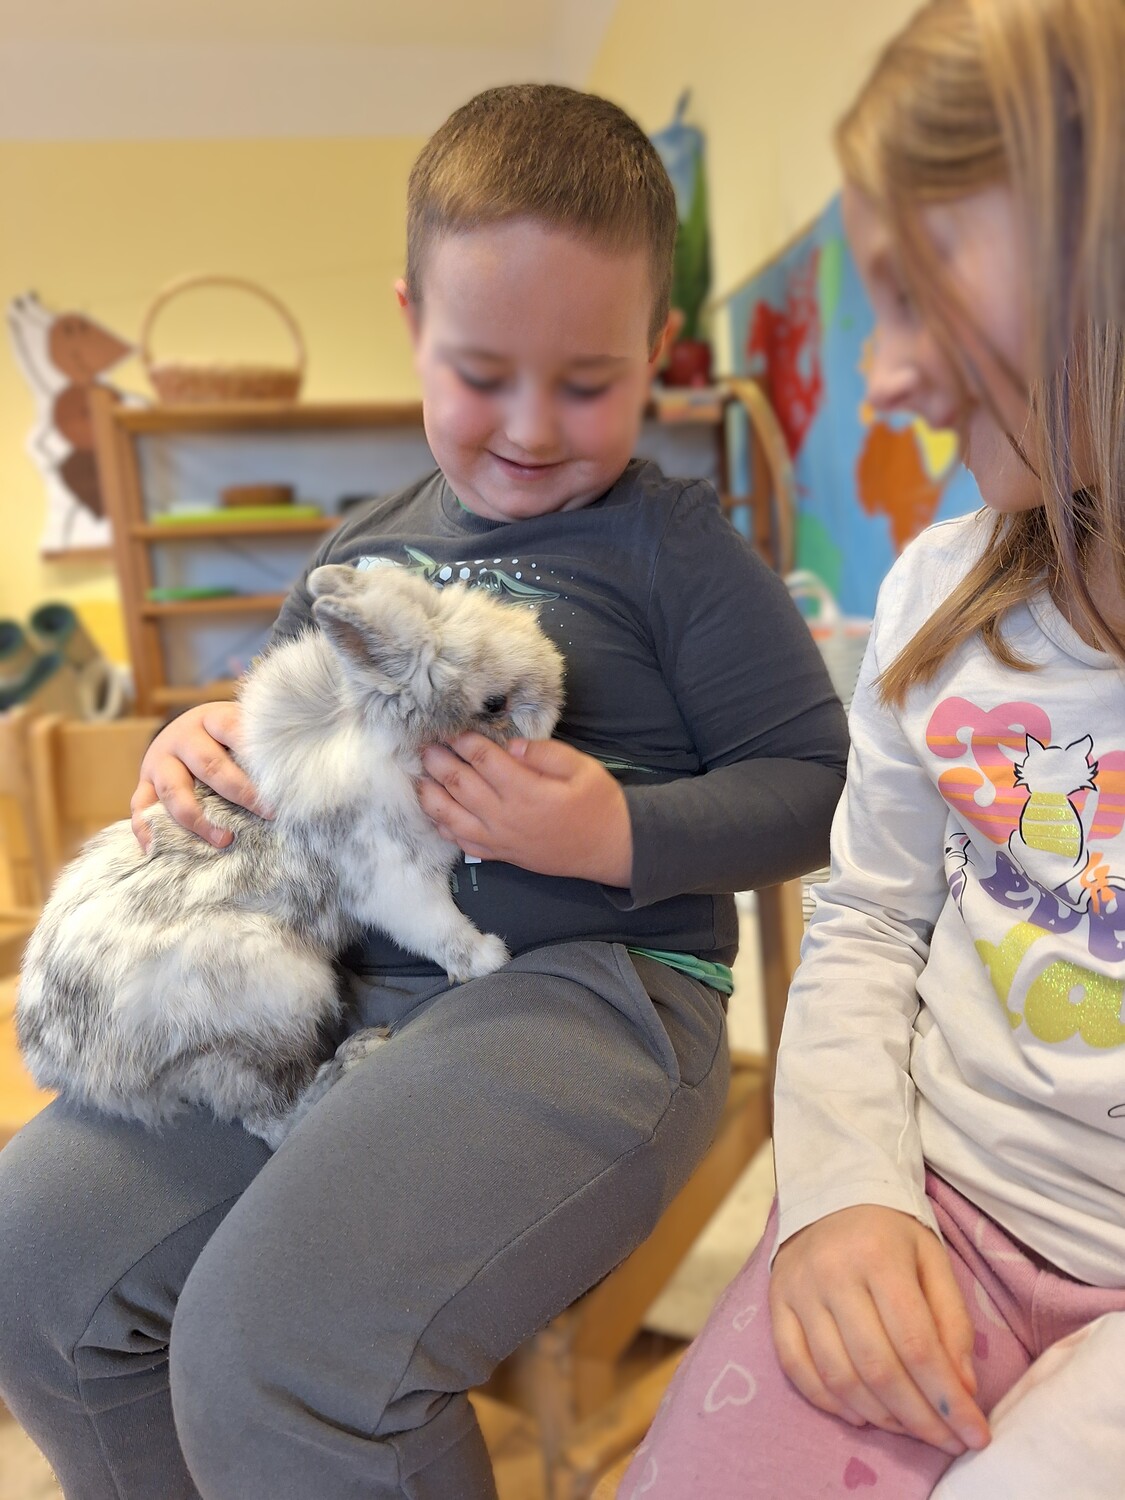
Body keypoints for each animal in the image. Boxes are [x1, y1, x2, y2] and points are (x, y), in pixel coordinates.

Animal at [17, 563, 565, 1148]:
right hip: (273, 999)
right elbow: (440, 928)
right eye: (494, 704)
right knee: (271, 1119)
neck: (378, 731)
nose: (553, 712)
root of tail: (58, 1064)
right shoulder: (395, 882)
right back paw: (355, 1056)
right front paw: (488, 957)